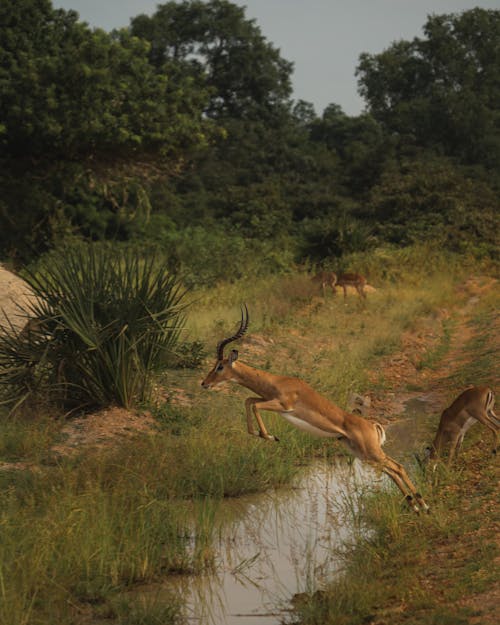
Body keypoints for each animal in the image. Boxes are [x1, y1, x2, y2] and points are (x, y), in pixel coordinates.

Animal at [202, 304, 430, 516]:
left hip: (370, 452)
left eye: (220, 366)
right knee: (391, 470)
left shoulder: (283, 406)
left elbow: (254, 404)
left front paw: (270, 436)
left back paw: (423, 506)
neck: (277, 382)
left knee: (398, 467)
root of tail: (372, 425)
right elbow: (249, 400)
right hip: (362, 453)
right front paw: (259, 434)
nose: (204, 383)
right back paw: (416, 507)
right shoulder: (267, 399)